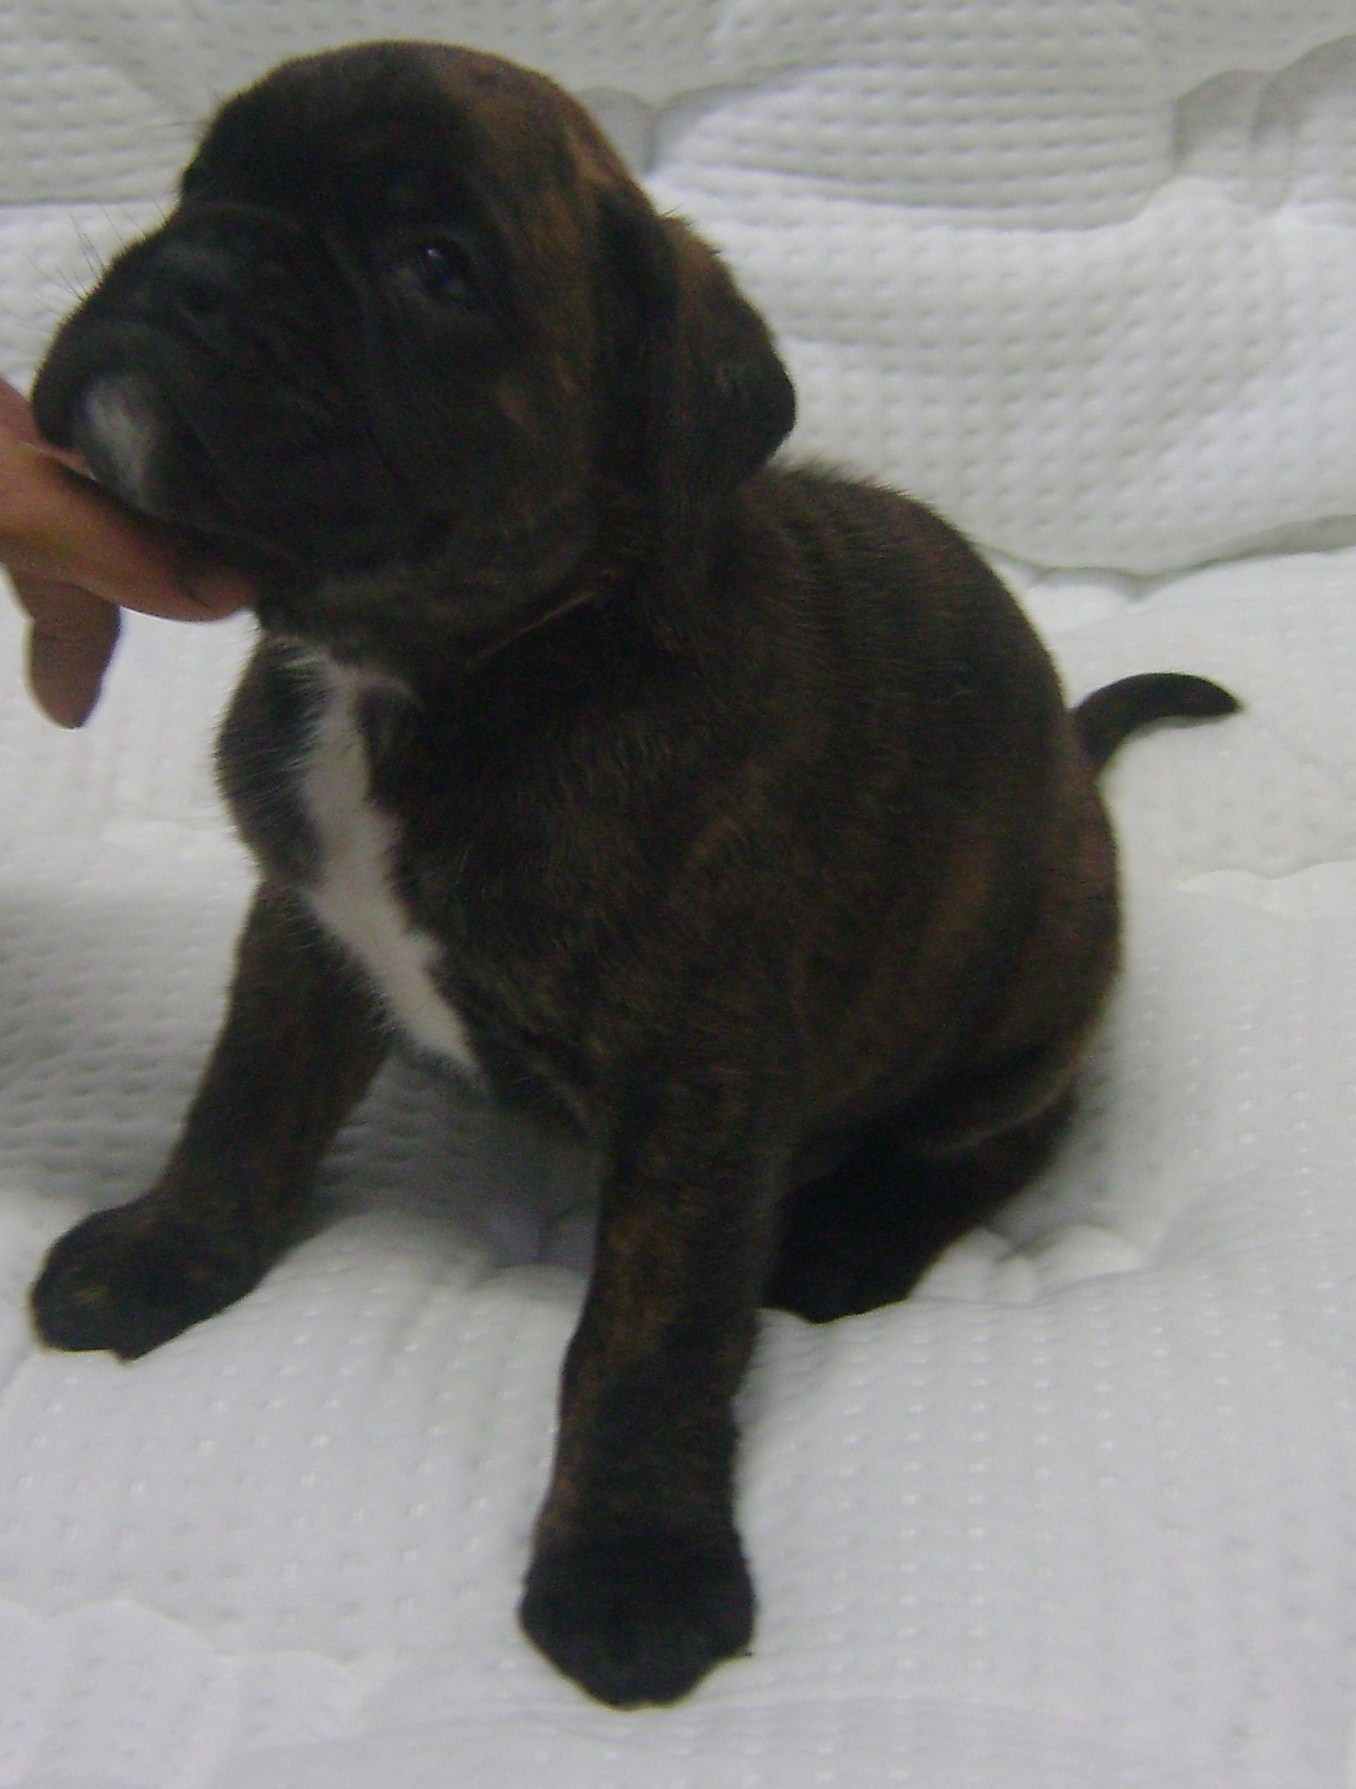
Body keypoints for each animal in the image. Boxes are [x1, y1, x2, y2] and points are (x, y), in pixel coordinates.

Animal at [26, 41, 1237, 1707]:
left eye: (435, 264)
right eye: (201, 188)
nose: (189, 268)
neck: (447, 671)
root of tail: (1070, 756)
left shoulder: (704, 1077)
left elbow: (648, 1335)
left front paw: (635, 1559)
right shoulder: (304, 934)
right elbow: (241, 1110)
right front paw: (166, 1256)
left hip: (1037, 976)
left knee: (1008, 1132)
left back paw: (854, 1235)